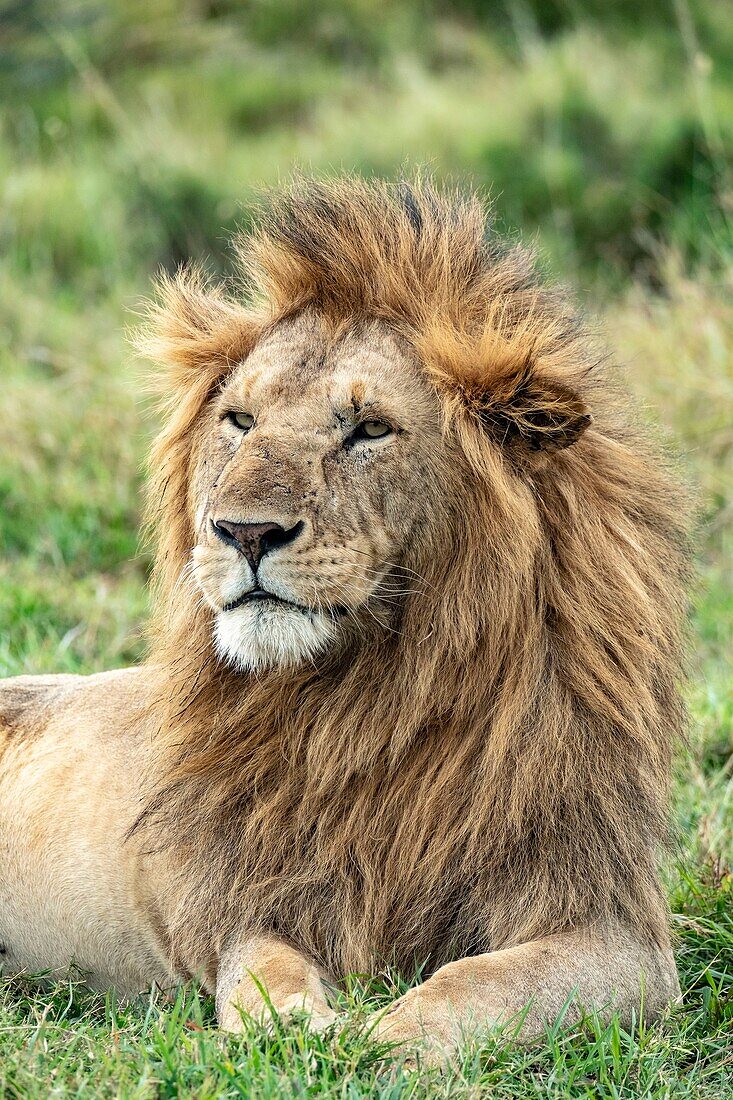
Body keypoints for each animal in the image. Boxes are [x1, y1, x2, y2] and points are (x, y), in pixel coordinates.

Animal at [0, 176, 686, 1051]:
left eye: (368, 429)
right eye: (240, 421)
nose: (243, 532)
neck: (368, 699)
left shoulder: (614, 925)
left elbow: (480, 983)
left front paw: (384, 1038)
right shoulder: (245, 902)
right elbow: (265, 976)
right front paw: (301, 1032)